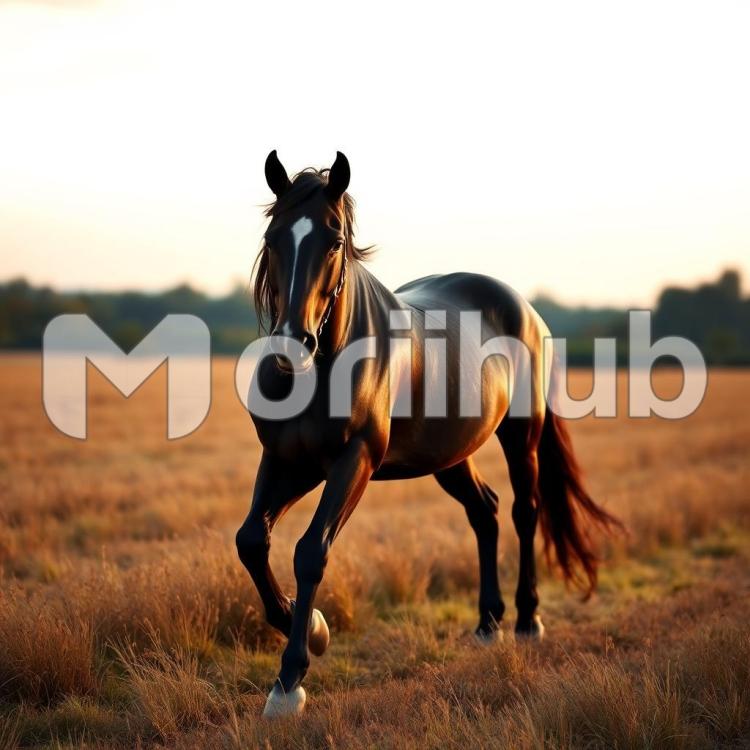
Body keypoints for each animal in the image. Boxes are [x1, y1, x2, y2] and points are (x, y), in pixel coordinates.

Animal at [236, 150, 620, 717]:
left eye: (333, 240)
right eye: (272, 237)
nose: (292, 345)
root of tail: (523, 307)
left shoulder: (354, 462)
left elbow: (310, 552)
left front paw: (291, 678)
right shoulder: (286, 463)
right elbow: (251, 541)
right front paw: (314, 631)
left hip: (521, 436)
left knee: (525, 511)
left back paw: (528, 620)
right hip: (450, 456)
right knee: (484, 510)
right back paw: (487, 624)